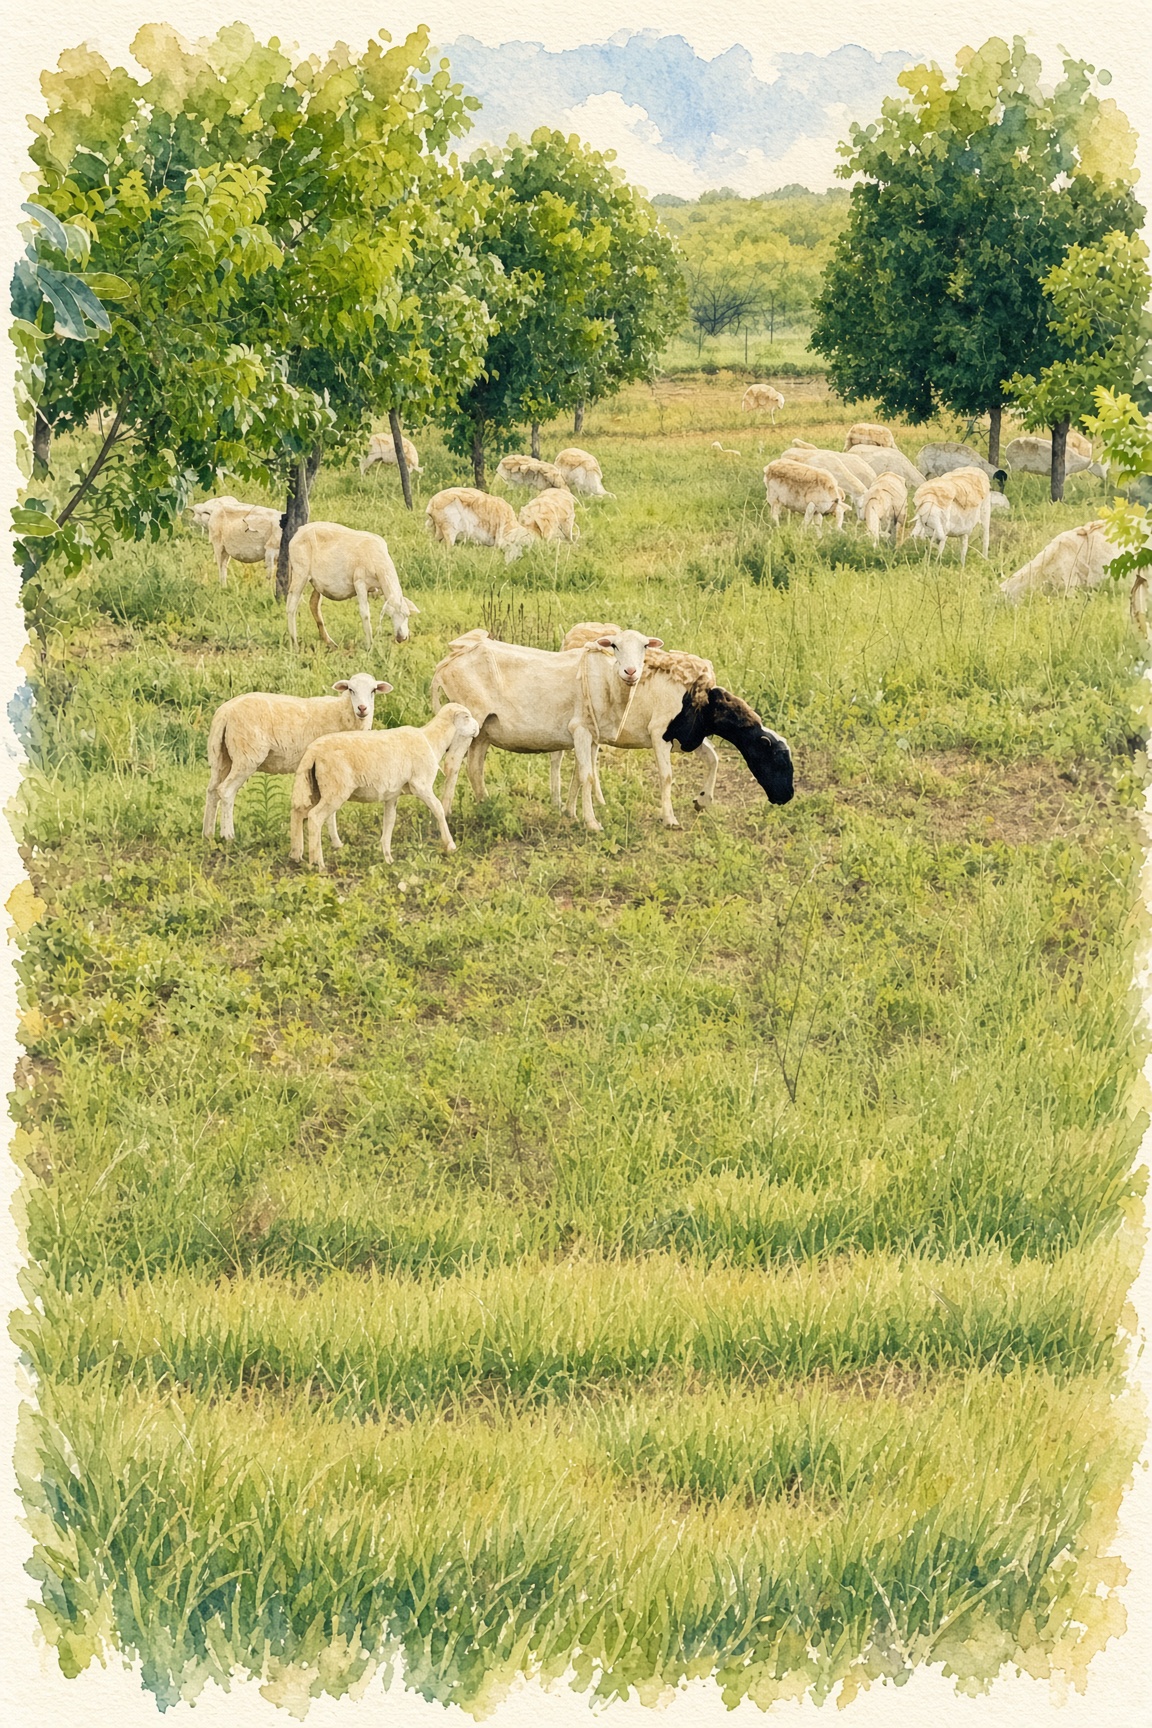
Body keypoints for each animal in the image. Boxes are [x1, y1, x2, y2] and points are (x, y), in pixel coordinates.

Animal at [203, 673, 392, 842]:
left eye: (373, 690)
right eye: (351, 690)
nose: (362, 708)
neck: (342, 713)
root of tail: (225, 712)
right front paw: (334, 841)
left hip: (222, 756)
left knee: (212, 790)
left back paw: (208, 834)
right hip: (246, 754)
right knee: (226, 791)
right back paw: (228, 836)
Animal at [285, 522, 419, 650]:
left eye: (407, 615)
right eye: (390, 615)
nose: (401, 638)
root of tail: (298, 531)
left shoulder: (379, 588)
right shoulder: (359, 582)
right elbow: (365, 613)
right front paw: (370, 646)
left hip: (317, 581)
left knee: (313, 604)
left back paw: (330, 643)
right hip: (300, 572)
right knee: (291, 607)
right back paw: (294, 645)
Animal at [290, 704, 480, 871]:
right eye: (467, 716)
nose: (478, 728)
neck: (432, 740)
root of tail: (313, 751)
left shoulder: (392, 795)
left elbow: (389, 822)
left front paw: (388, 858)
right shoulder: (421, 785)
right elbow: (439, 810)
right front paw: (450, 845)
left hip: (315, 787)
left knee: (298, 812)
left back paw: (297, 856)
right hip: (335, 788)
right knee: (314, 817)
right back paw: (318, 863)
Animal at [431, 628, 793, 832]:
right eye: (777, 760)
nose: (786, 797)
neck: (697, 697)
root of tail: (449, 660)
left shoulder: (684, 736)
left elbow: (714, 758)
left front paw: (702, 801)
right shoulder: (659, 732)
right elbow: (666, 777)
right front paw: (669, 819)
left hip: (486, 728)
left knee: (476, 764)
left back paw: (486, 804)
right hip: (470, 718)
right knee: (453, 764)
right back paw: (449, 812)